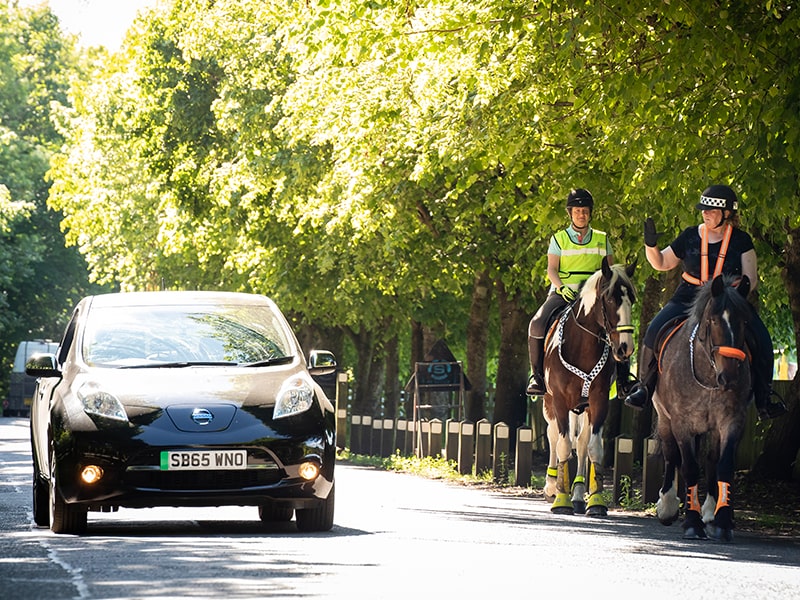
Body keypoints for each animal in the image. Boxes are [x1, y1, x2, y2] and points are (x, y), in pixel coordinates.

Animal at [540, 256, 636, 516]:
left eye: (632, 300)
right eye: (611, 299)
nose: (625, 348)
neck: (582, 346)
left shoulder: (599, 400)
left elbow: (593, 447)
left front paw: (595, 502)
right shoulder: (559, 400)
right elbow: (563, 445)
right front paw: (561, 500)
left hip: (583, 407)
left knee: (581, 442)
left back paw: (578, 495)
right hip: (549, 402)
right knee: (553, 435)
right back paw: (552, 485)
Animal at [652, 274, 752, 540]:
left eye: (744, 321)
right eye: (714, 320)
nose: (730, 378)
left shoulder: (731, 421)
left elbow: (723, 465)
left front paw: (722, 522)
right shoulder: (681, 422)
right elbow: (688, 467)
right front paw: (691, 522)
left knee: (710, 459)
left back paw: (708, 510)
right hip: (664, 418)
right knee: (671, 455)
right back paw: (668, 506)